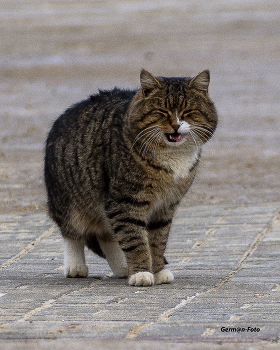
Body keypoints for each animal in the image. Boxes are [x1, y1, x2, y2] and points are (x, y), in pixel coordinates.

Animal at [44, 69, 218, 286]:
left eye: (187, 111)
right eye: (162, 112)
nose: (176, 125)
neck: (172, 156)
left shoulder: (165, 207)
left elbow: (157, 241)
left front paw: (156, 270)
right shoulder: (125, 202)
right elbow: (135, 241)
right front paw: (142, 272)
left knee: (106, 236)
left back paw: (123, 267)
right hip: (69, 201)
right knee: (72, 233)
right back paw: (76, 267)